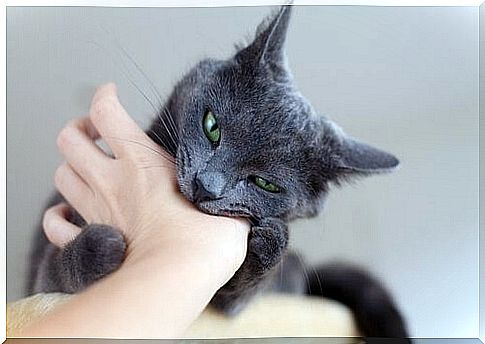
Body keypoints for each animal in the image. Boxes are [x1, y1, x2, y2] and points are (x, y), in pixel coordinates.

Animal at [27, 6, 408, 340]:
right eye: (212, 127)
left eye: (266, 183)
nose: (206, 185)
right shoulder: (41, 283)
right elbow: (53, 271)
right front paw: (100, 248)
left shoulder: (228, 306)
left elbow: (234, 300)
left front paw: (272, 242)